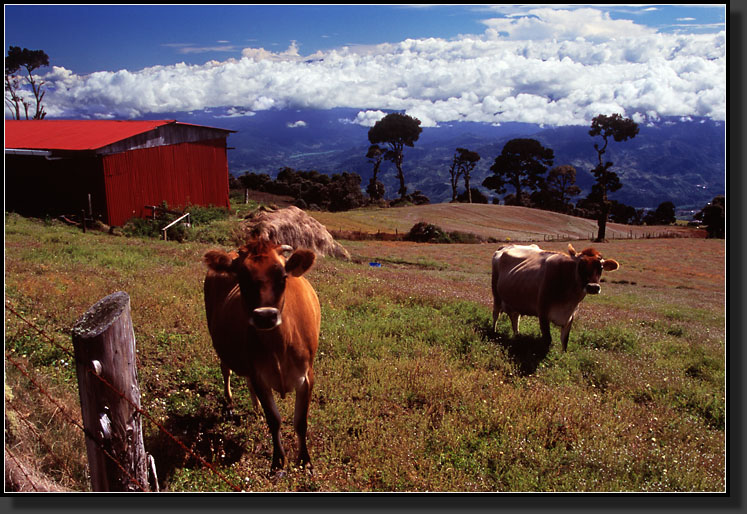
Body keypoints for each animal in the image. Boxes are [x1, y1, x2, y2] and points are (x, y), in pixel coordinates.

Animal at [205, 236, 322, 472]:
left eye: (283, 276)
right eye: (241, 278)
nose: (265, 316)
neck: (280, 344)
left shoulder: (307, 376)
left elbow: (300, 422)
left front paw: (305, 461)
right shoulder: (260, 376)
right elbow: (274, 420)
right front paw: (278, 461)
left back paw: (256, 408)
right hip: (220, 345)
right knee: (225, 371)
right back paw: (230, 405)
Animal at [490, 243, 620, 348]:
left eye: (601, 267)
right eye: (580, 265)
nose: (593, 287)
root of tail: (506, 246)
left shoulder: (570, 317)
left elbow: (565, 341)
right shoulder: (543, 313)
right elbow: (548, 340)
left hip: (515, 300)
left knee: (515, 317)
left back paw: (516, 335)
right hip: (496, 294)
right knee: (496, 314)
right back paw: (494, 332)